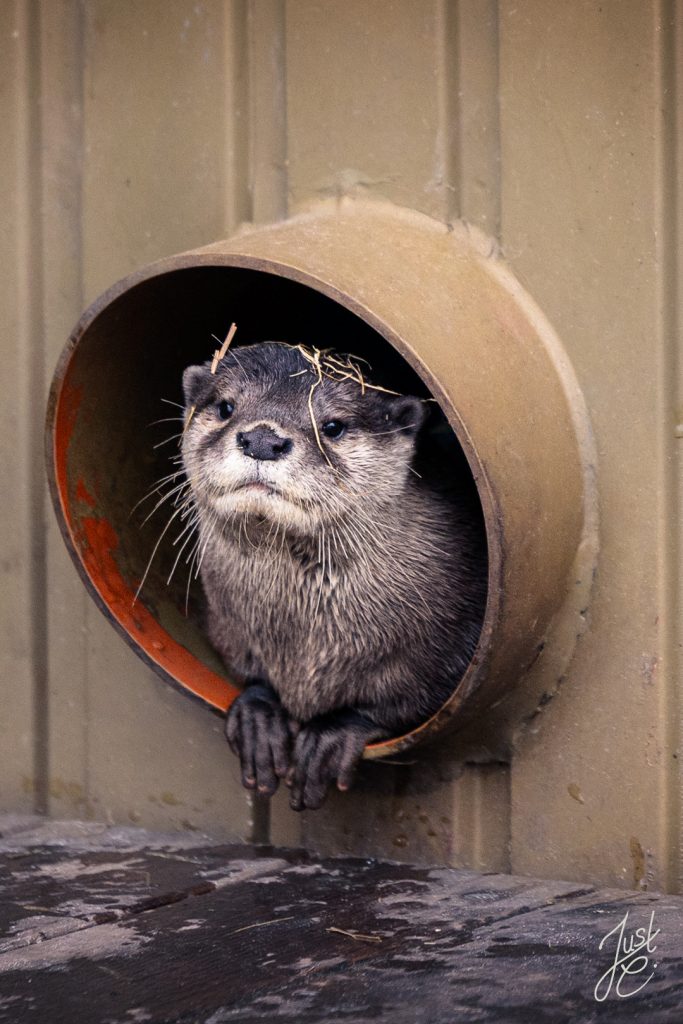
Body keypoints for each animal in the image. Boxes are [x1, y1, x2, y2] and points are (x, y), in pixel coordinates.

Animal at [180, 341, 486, 810]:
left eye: (333, 426)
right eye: (226, 406)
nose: (263, 439)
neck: (306, 640)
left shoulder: (454, 651)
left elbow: (408, 704)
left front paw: (335, 733)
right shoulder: (227, 625)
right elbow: (249, 675)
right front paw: (258, 718)